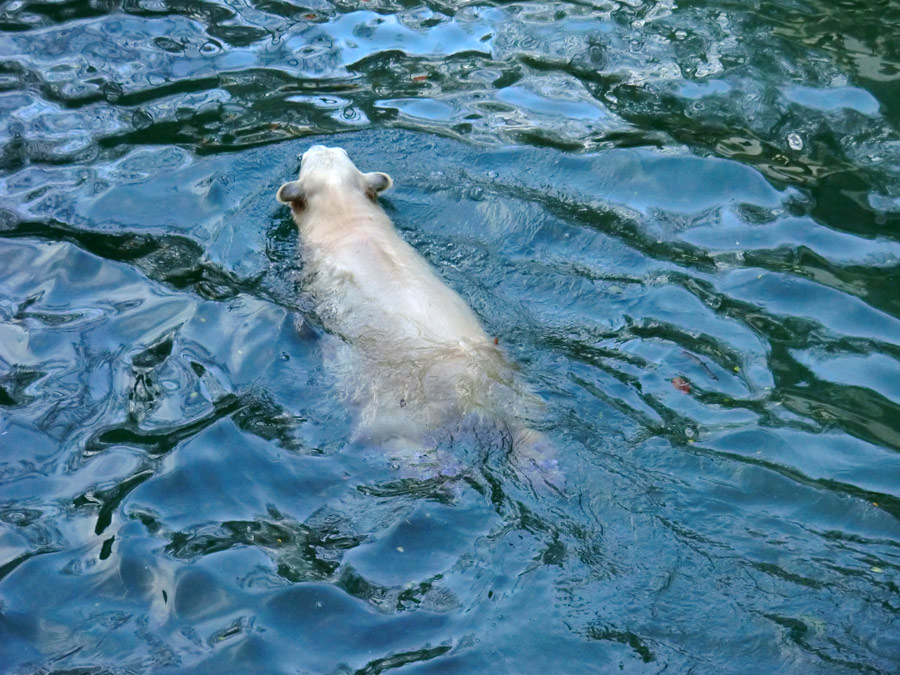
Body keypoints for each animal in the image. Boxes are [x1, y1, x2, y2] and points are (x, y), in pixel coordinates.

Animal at [278, 145, 560, 488]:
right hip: (511, 383)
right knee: (526, 421)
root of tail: (470, 395)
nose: (316, 146)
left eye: (307, 159)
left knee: (386, 435)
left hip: (395, 403)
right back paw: (541, 461)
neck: (349, 222)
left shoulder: (313, 274)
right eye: (336, 152)